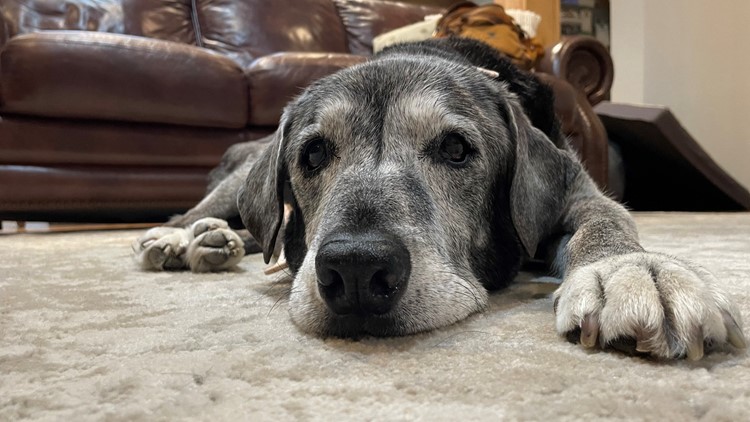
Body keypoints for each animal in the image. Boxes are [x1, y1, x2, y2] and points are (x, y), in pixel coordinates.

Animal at [131, 38, 748, 360]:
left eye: (455, 148)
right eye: (313, 154)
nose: (356, 270)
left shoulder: (572, 186)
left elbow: (604, 217)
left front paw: (634, 272)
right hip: (240, 174)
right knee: (212, 209)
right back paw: (188, 236)